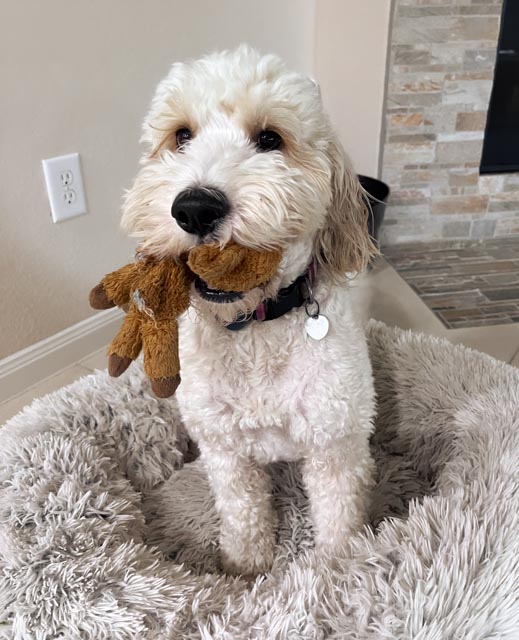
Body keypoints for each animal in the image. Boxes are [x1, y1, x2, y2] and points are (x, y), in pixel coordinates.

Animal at [124, 45, 380, 576]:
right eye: (181, 136)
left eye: (269, 139)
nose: (195, 207)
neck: (255, 328)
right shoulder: (224, 451)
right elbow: (242, 512)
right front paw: (246, 569)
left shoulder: (334, 445)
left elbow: (339, 516)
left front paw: (339, 572)